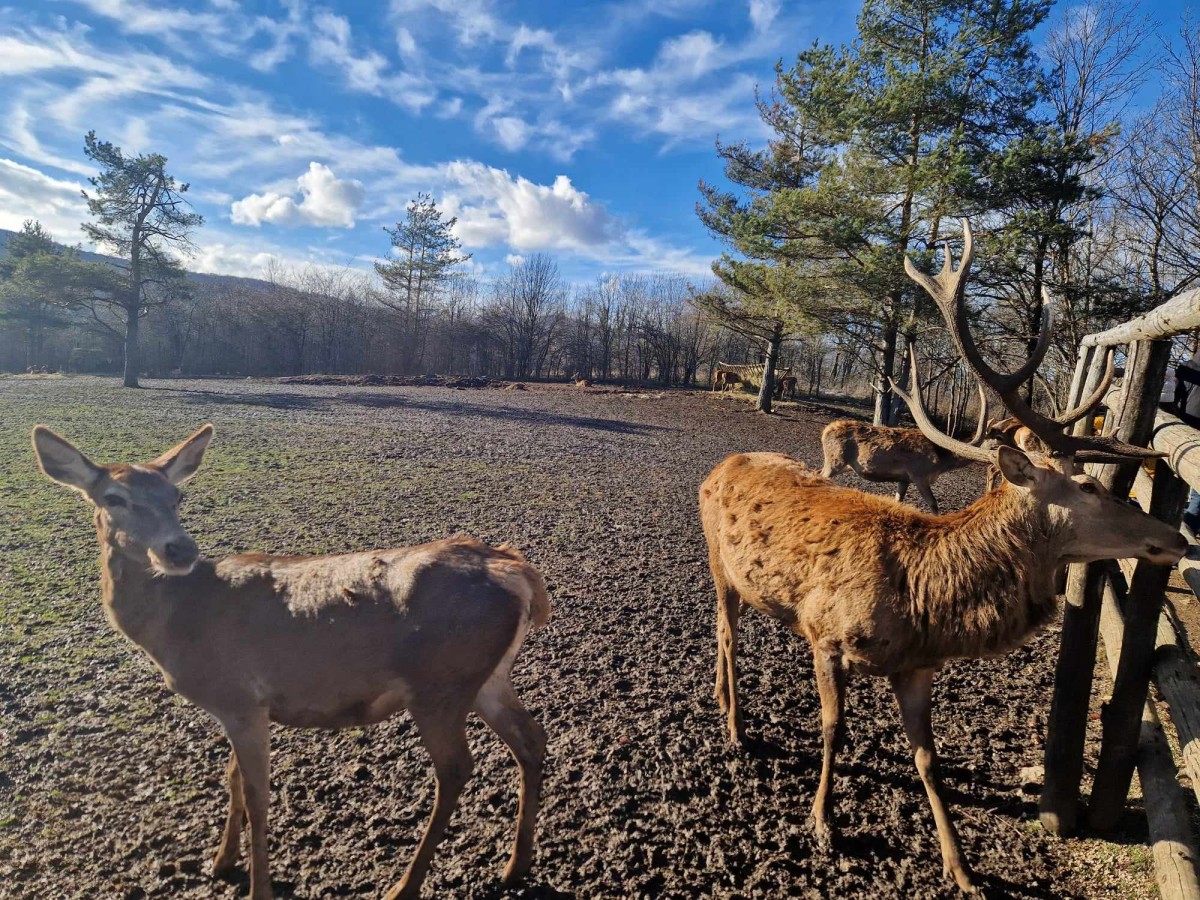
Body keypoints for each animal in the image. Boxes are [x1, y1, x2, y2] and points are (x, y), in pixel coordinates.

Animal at [31, 424, 549, 900]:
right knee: (531, 738)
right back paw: (516, 865)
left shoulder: (239, 696)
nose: (179, 549)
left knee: (457, 768)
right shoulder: (242, 706)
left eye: (177, 495)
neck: (178, 625)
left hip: (440, 682)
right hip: (487, 677)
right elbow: (233, 778)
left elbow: (258, 795)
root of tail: (520, 573)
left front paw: (257, 887)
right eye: (113, 497)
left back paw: (404, 886)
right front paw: (221, 861)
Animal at [820, 381, 988, 513]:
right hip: (835, 461)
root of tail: (825, 431)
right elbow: (933, 504)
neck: (942, 461)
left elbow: (898, 500)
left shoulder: (904, 478)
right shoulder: (919, 474)